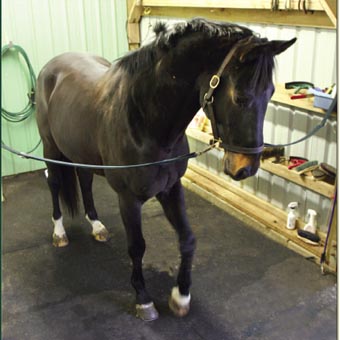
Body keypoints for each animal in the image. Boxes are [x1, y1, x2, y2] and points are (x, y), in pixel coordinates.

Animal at [35, 18, 294, 322]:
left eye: (271, 94)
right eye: (240, 97)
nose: (246, 168)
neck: (143, 120)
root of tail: (52, 66)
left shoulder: (171, 188)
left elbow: (188, 239)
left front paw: (181, 296)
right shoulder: (129, 199)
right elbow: (137, 247)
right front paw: (144, 300)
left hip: (80, 154)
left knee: (85, 182)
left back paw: (97, 226)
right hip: (51, 150)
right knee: (54, 184)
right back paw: (59, 233)